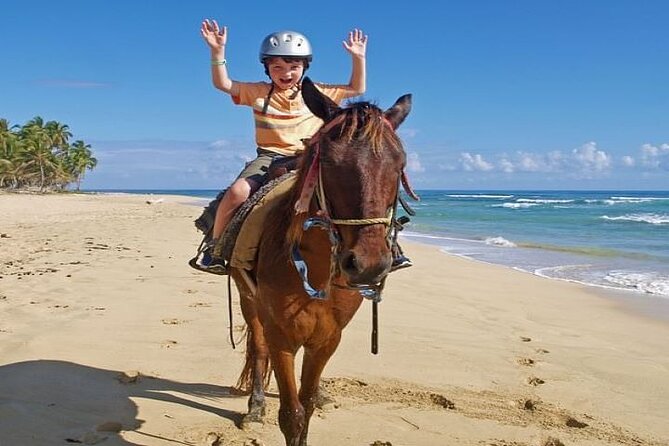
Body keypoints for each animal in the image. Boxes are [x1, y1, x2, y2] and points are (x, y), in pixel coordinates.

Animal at [230, 77, 410, 446]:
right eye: (326, 162)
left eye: (399, 164)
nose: (369, 264)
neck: (315, 268)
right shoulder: (281, 336)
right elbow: (292, 414)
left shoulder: (328, 338)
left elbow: (308, 401)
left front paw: (317, 396)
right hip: (247, 299)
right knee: (258, 347)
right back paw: (255, 406)